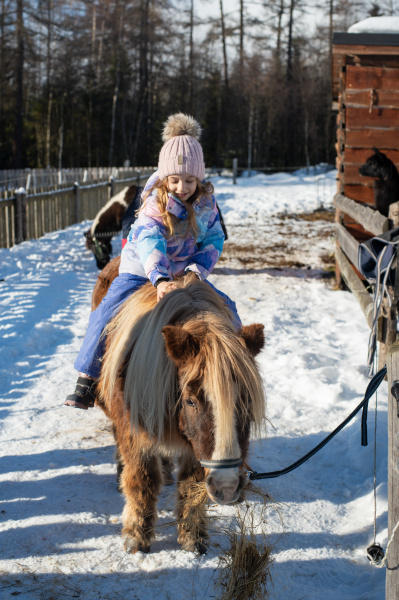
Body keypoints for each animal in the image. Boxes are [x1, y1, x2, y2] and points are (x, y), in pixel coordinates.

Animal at [95, 274, 268, 556]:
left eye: (247, 401)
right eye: (190, 401)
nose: (228, 487)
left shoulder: (195, 447)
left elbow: (190, 486)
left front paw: (192, 538)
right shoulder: (134, 433)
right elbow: (141, 481)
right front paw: (136, 537)